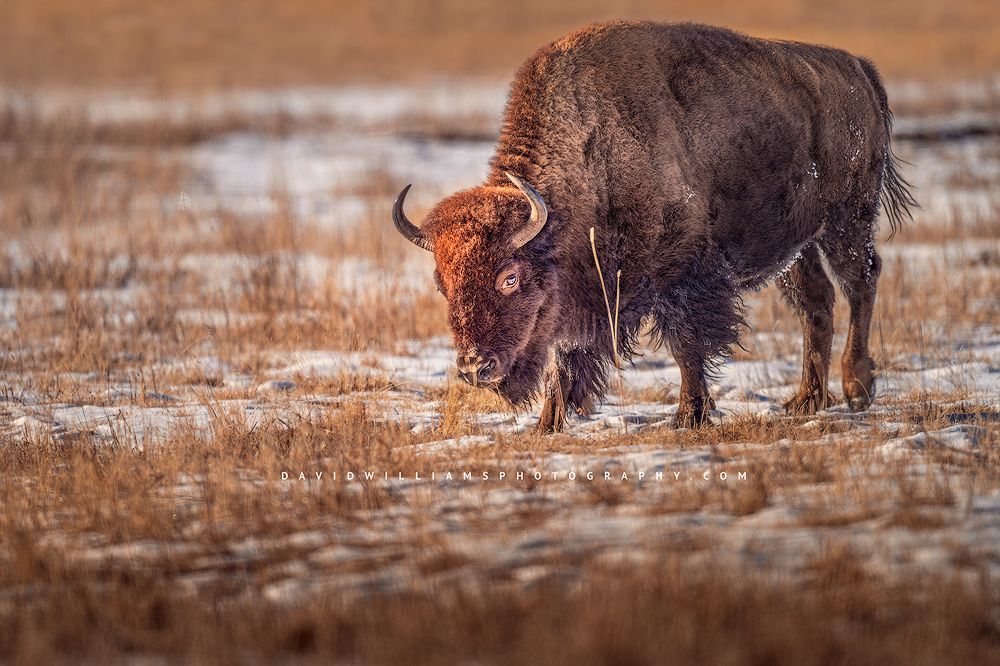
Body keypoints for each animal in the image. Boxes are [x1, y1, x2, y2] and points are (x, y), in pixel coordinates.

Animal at [392, 21, 915, 432]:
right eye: (442, 284)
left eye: (510, 278)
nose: (473, 367)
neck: (594, 152)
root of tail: (860, 70)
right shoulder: (583, 304)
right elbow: (563, 360)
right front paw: (546, 426)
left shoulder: (682, 278)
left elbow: (687, 346)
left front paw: (689, 415)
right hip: (798, 246)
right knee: (816, 304)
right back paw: (805, 401)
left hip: (847, 220)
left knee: (861, 281)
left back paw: (857, 387)